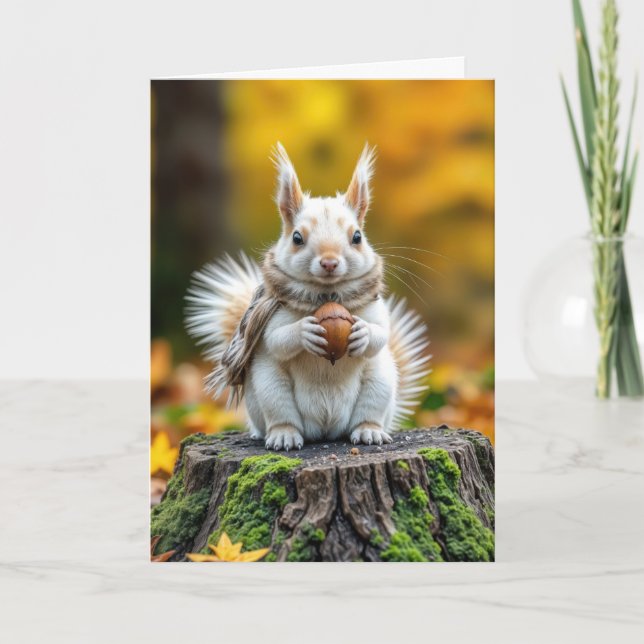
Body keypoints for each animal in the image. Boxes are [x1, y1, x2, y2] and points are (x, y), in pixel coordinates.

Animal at [186, 143, 430, 451]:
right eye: (297, 238)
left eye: (357, 237)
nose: (329, 262)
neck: (326, 296)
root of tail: (325, 430)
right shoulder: (275, 318)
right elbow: (276, 339)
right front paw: (304, 332)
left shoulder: (375, 308)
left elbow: (381, 332)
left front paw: (363, 332)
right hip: (270, 389)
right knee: (281, 420)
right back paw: (283, 436)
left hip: (380, 381)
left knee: (366, 417)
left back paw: (369, 431)